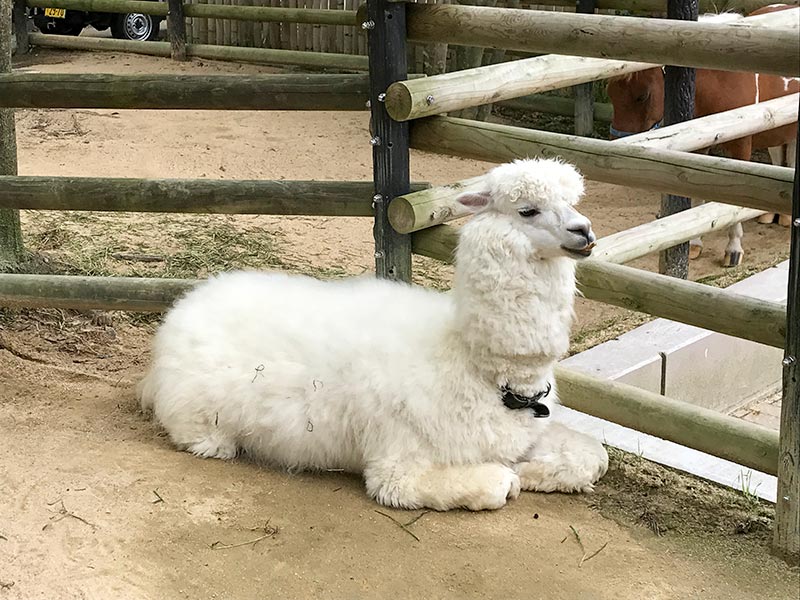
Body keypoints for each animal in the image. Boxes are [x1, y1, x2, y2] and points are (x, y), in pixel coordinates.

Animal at [608, 4, 796, 266]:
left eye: (642, 96)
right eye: (610, 94)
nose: (616, 143)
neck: (724, 78)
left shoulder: (741, 146)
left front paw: (733, 249)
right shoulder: (700, 145)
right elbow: (698, 199)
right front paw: (694, 245)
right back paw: (773, 215)